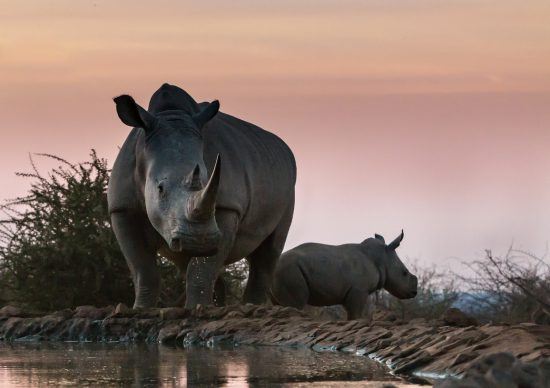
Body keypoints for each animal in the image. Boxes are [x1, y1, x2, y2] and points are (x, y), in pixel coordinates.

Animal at [109, 84, 298, 310]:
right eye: (160, 188)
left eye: (207, 180)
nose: (200, 240)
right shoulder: (122, 209)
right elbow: (143, 269)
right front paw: (141, 309)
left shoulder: (227, 206)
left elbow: (203, 269)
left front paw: (197, 308)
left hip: (289, 189)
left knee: (269, 250)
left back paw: (251, 306)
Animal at [272, 232, 418, 320]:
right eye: (404, 273)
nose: (414, 292)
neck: (382, 258)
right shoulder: (359, 290)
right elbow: (356, 315)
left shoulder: (351, 293)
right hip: (289, 270)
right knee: (296, 304)